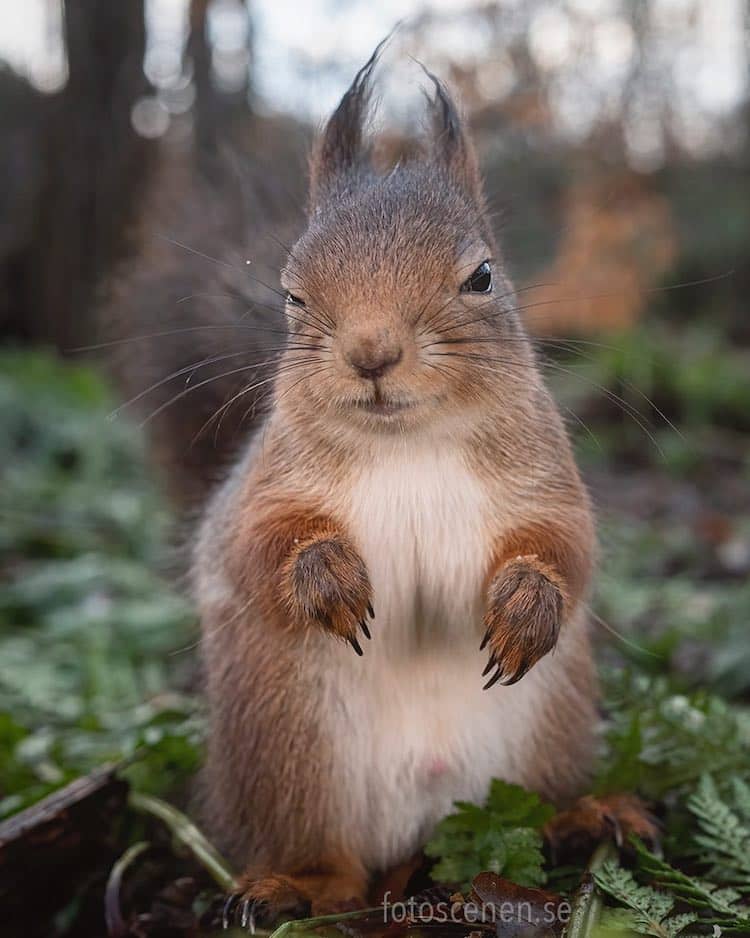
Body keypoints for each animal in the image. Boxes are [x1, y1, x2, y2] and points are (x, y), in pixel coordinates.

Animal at [104, 42, 600, 920]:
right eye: (291, 292)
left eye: (482, 276)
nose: (372, 352)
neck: (409, 443)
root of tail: (426, 822)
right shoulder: (264, 486)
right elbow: (257, 545)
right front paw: (325, 578)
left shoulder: (547, 478)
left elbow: (568, 545)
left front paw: (529, 606)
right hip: (290, 755)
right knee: (327, 861)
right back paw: (294, 887)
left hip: (550, 739)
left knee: (535, 806)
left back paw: (580, 822)